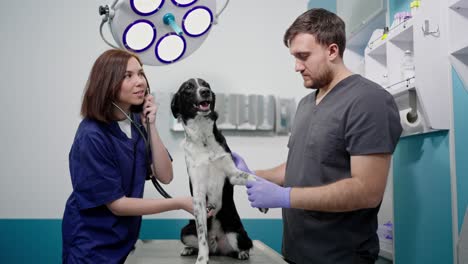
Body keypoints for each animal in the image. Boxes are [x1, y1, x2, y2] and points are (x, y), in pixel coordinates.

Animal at [171, 78, 266, 264]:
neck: (203, 138)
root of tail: (217, 246)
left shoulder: (232, 174)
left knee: (247, 245)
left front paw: (263, 198)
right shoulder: (199, 195)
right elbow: (202, 235)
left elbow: (252, 177)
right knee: (199, 239)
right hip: (186, 230)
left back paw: (242, 253)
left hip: (238, 234)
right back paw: (189, 249)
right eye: (188, 87)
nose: (205, 91)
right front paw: (202, 259)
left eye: (206, 84)